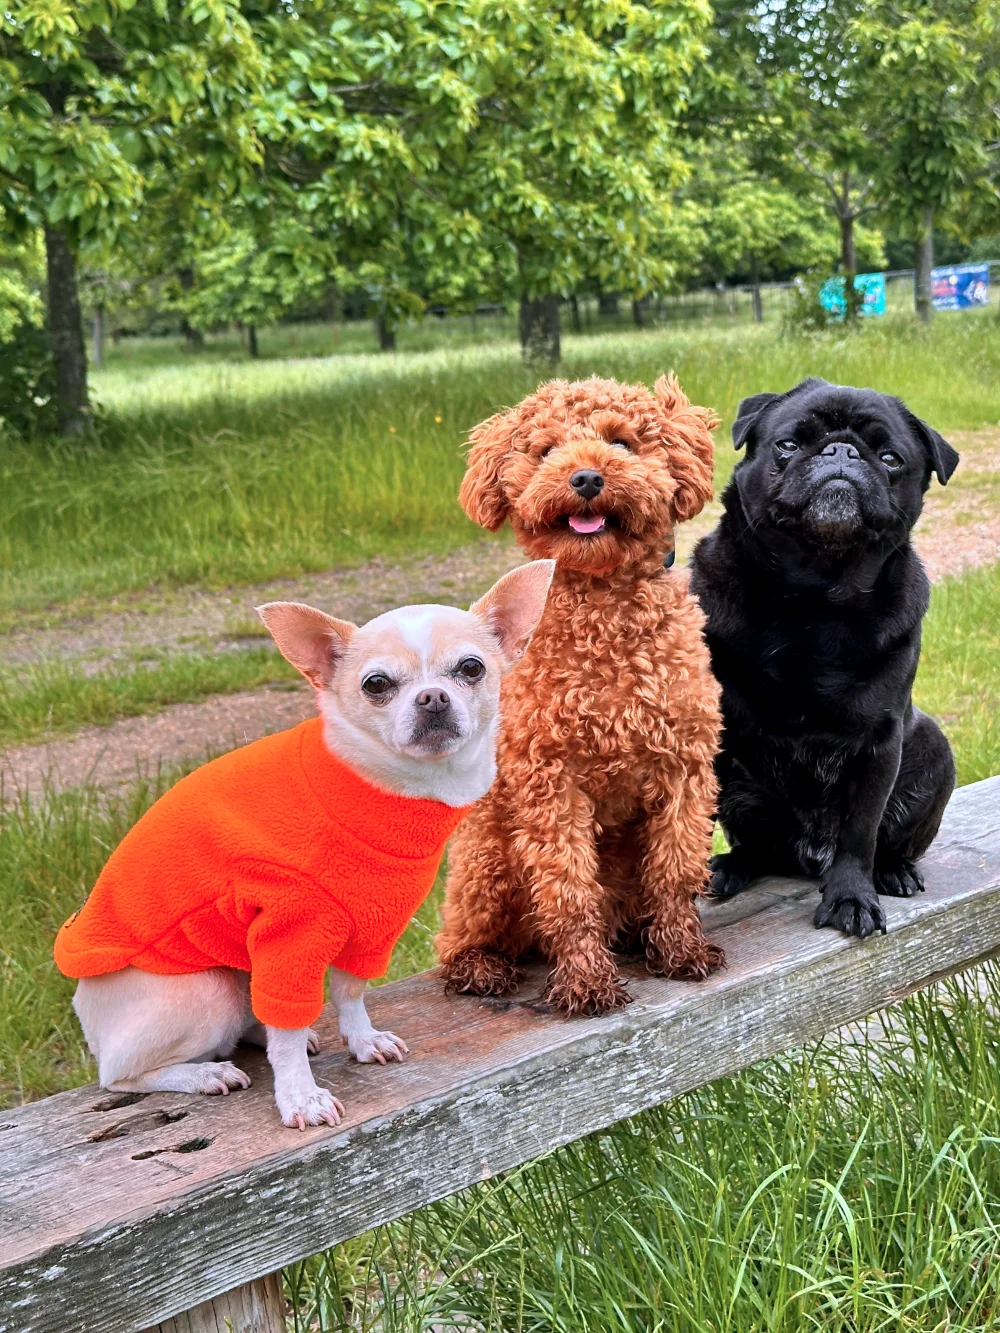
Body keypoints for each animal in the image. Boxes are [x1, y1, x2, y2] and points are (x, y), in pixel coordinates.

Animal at [55, 561, 554, 1128]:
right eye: (376, 684)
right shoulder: (289, 937)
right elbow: (288, 1029)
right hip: (209, 992)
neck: (385, 788)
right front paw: (300, 1096)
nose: (432, 697)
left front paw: (362, 1040)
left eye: (471, 668)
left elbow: (349, 992)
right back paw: (202, 1073)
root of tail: (84, 1011)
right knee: (121, 1075)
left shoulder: (374, 927)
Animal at [437, 374, 725, 1016]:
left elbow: (677, 871)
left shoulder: (684, 766)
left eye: (621, 442)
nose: (587, 478)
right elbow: (569, 890)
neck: (604, 615)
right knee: (460, 938)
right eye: (546, 451)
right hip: (487, 857)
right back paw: (480, 967)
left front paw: (682, 950)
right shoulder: (551, 781)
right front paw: (586, 982)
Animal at [689, 377, 959, 938]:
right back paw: (729, 867)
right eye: (788, 444)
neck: (814, 596)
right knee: (757, 846)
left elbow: (860, 832)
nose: (841, 451)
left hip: (932, 750)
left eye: (890, 458)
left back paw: (895, 870)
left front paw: (851, 897)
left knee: (885, 841)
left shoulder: (877, 744)